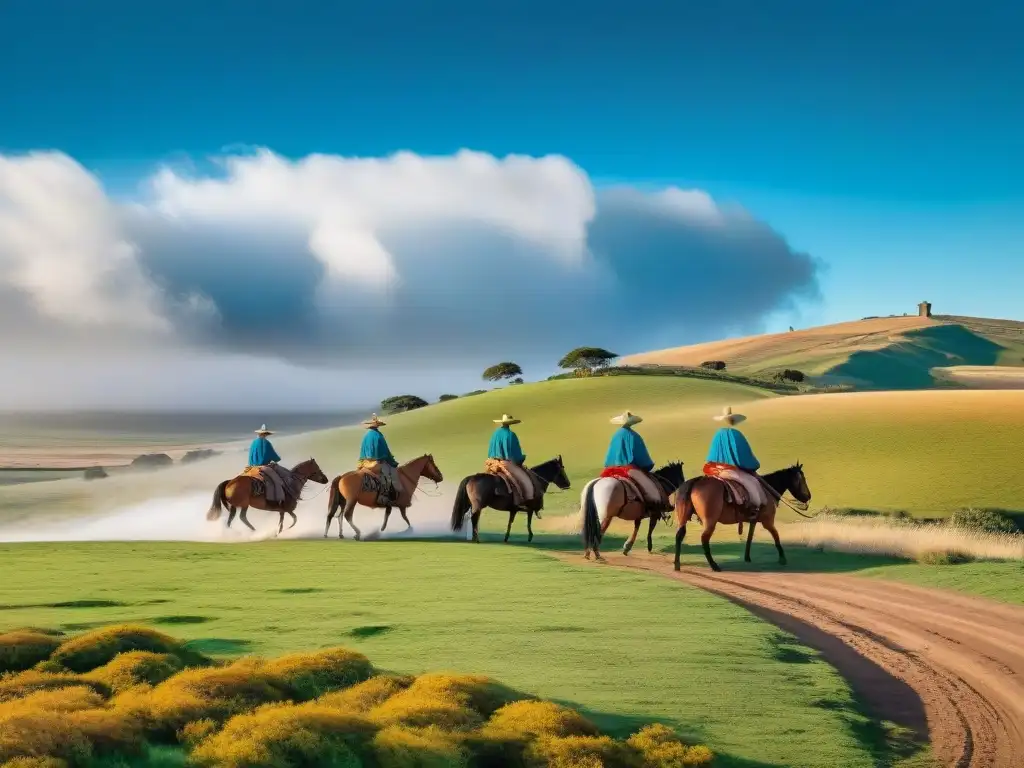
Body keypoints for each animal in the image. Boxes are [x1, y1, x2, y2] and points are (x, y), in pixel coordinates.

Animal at [675, 462, 811, 573]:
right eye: (803, 479)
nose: (808, 496)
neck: (768, 490)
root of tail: (696, 482)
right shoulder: (768, 521)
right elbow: (776, 536)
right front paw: (782, 558)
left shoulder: (753, 521)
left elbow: (749, 538)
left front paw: (747, 557)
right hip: (710, 521)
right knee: (704, 539)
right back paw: (714, 565)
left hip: (683, 518)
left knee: (679, 535)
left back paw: (677, 565)